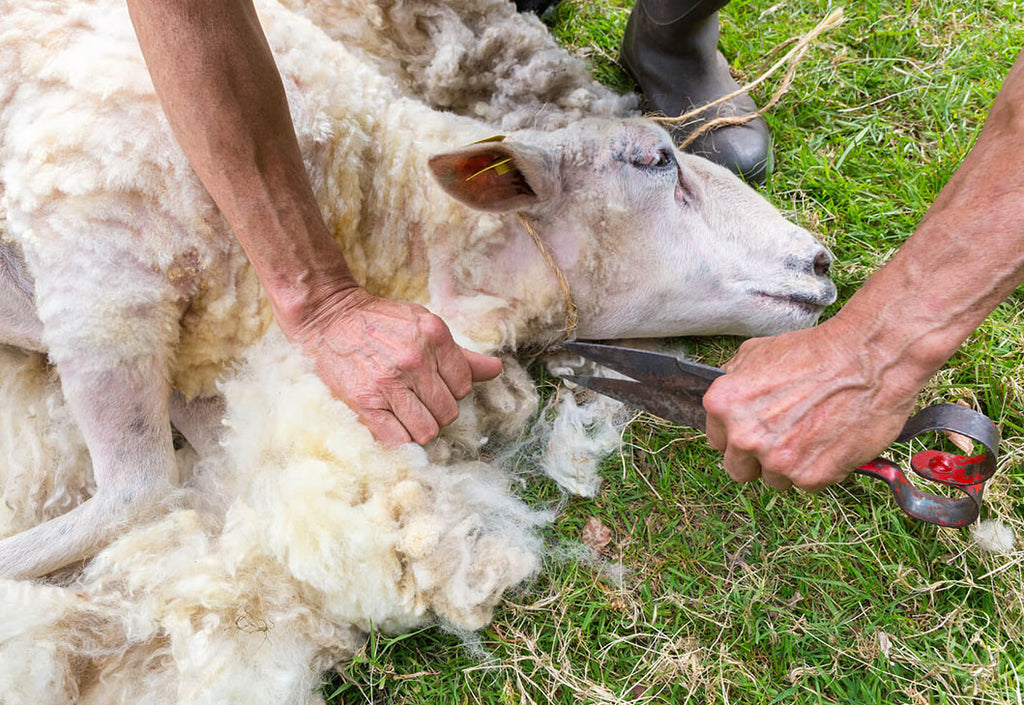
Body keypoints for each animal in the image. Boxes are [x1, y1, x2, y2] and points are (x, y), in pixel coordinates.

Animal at [0, 0, 835, 700]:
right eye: (655, 160)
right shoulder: (101, 264)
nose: (822, 262)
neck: (372, 202)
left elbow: (199, 472)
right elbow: (140, 489)